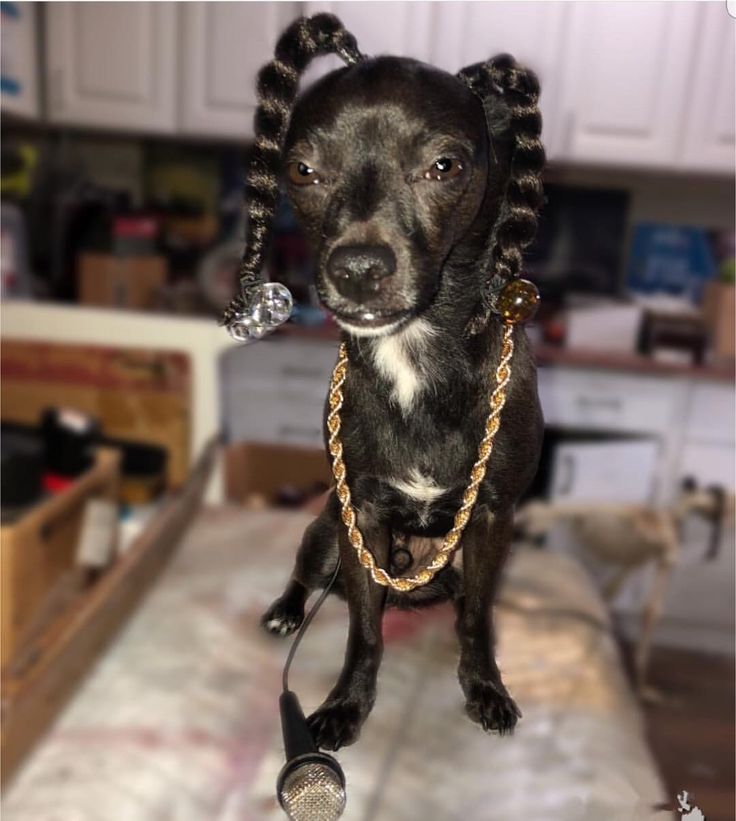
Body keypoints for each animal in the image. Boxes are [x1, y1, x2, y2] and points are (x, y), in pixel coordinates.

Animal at [253, 16, 548, 752]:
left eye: (445, 166)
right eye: (301, 169)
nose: (357, 268)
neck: (413, 351)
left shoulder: (492, 517)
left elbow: (476, 619)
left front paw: (485, 685)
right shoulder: (361, 515)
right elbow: (363, 630)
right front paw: (347, 703)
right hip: (325, 533)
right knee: (308, 575)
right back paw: (285, 609)